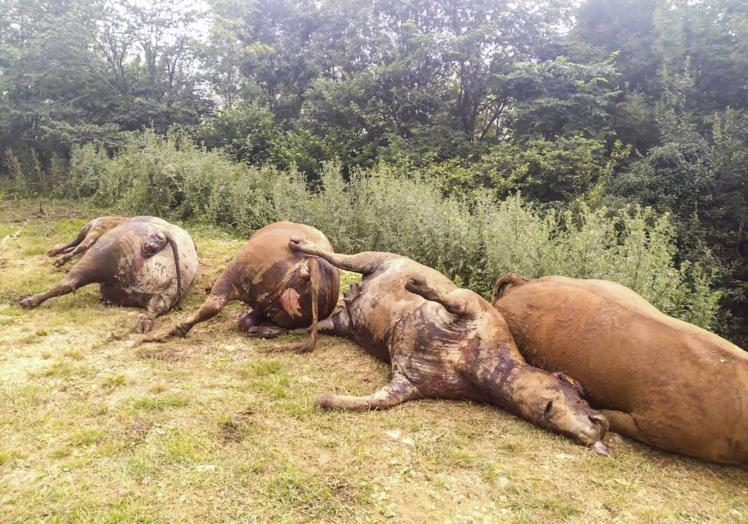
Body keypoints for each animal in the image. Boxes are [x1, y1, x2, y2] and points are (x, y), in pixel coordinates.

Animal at [140, 221, 338, 352]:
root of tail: (311, 263)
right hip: (274, 311)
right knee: (256, 324)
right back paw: (260, 330)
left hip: (235, 272)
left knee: (213, 305)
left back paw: (161, 335)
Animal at [290, 239, 612, 452]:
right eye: (574, 397)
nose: (599, 430)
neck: (469, 364)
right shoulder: (470, 305)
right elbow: (446, 296)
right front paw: (417, 285)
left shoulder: (406, 383)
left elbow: (371, 401)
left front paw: (326, 399)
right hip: (370, 258)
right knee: (334, 255)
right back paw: (298, 243)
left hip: (342, 323)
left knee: (309, 326)